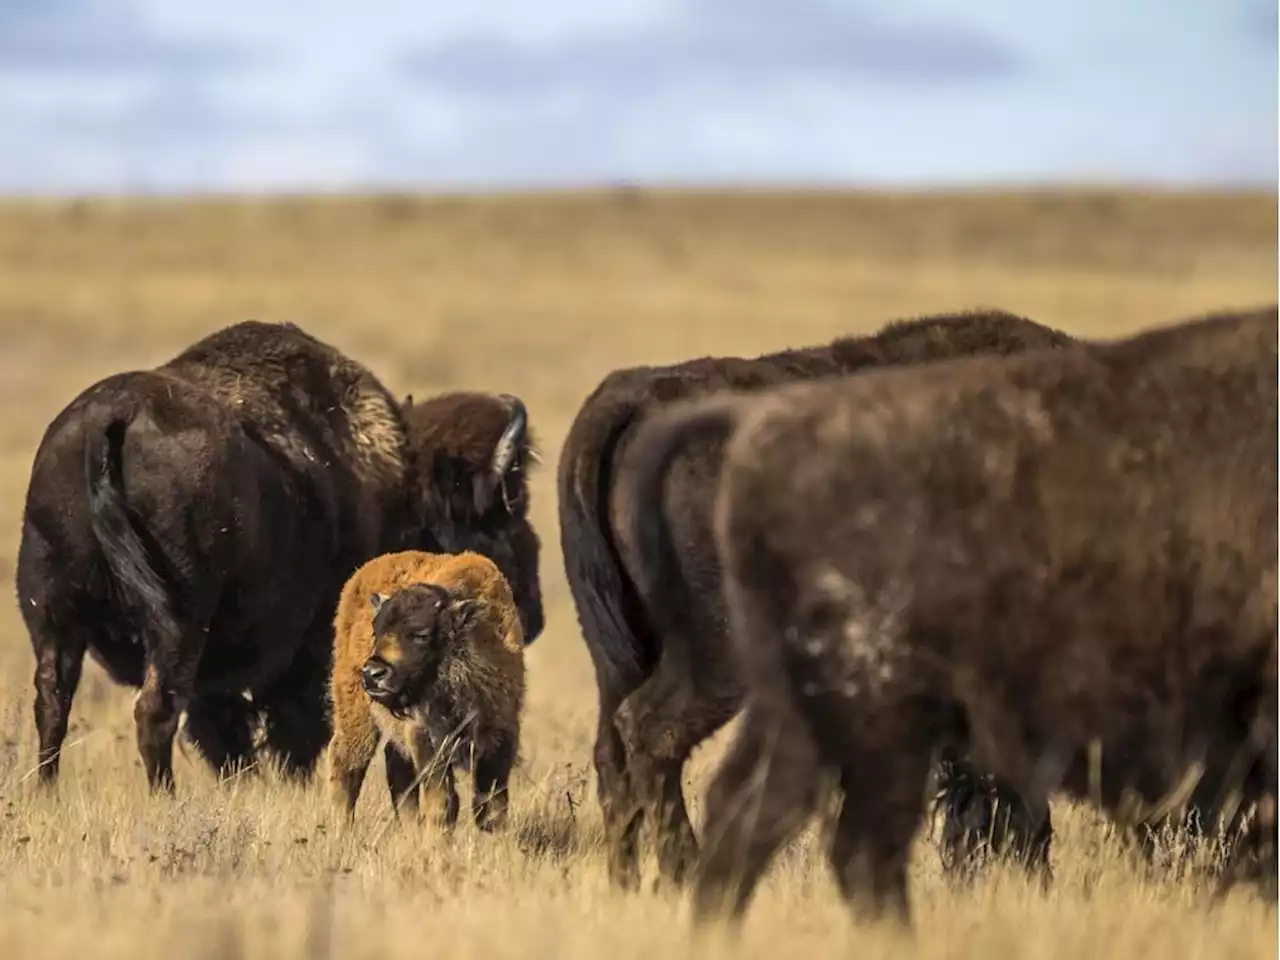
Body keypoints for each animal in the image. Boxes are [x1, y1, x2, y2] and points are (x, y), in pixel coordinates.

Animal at [16, 320, 545, 793]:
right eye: (505, 509)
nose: (531, 615)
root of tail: (112, 416)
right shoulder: (309, 648)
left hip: (54, 616)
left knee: (52, 702)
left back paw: (47, 792)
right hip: (175, 626)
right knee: (154, 710)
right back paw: (162, 796)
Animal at [327, 547, 522, 834]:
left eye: (421, 634)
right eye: (376, 631)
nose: (373, 673)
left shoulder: (500, 736)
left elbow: (491, 808)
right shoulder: (427, 739)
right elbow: (443, 803)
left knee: (395, 768)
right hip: (356, 713)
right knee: (349, 762)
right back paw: (342, 830)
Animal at [560, 312, 1080, 890]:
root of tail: (634, 397)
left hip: (619, 651)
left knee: (614, 753)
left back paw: (627, 883)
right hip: (717, 653)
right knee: (652, 731)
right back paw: (688, 876)